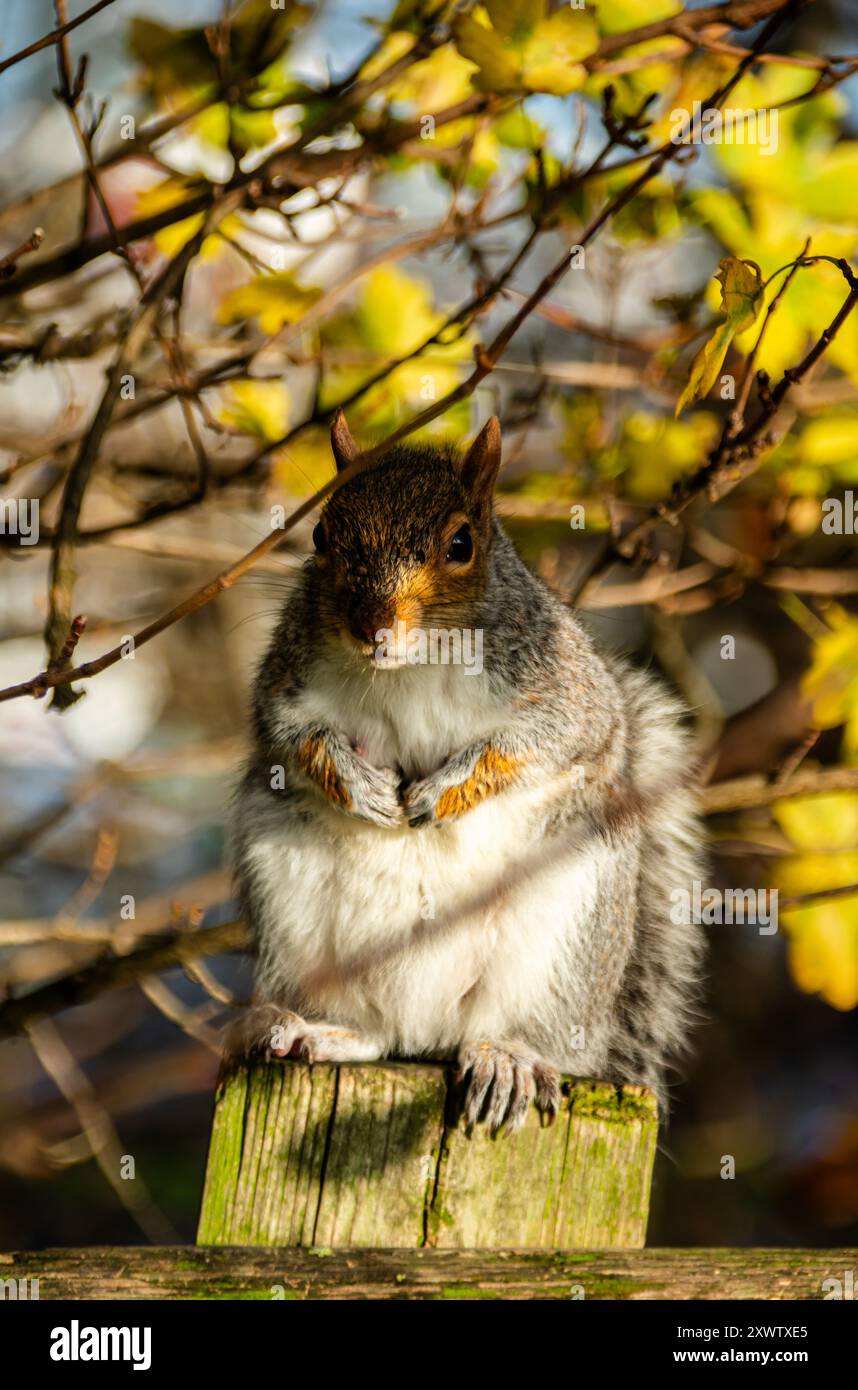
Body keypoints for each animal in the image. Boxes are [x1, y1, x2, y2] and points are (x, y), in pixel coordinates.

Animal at [228, 408, 703, 1128]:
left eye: (461, 543)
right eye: (320, 535)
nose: (374, 626)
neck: (413, 666)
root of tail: (428, 1030)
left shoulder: (567, 694)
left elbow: (544, 742)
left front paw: (444, 790)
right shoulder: (285, 682)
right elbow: (292, 737)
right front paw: (359, 785)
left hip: (564, 932)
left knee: (532, 1031)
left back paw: (510, 1058)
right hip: (292, 911)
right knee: (377, 1032)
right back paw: (314, 1030)